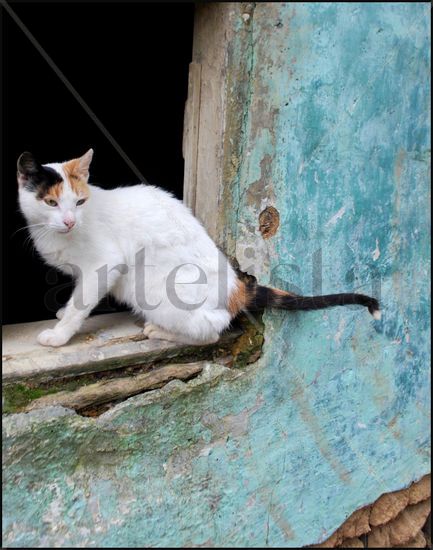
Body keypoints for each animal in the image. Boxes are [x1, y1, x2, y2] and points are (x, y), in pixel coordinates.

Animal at [16, 150, 378, 350]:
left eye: (79, 202)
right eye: (51, 203)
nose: (69, 221)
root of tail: (236, 289)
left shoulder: (103, 265)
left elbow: (81, 304)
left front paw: (59, 335)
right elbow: (76, 298)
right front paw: (62, 314)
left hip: (153, 290)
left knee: (210, 332)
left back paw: (160, 331)